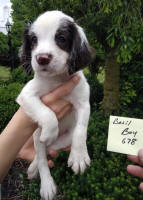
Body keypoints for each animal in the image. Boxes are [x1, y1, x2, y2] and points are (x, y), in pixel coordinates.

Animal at [16, 10, 92, 200]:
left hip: (64, 140)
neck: (57, 79)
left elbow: (81, 130)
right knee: (42, 157)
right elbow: (47, 114)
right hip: (36, 136)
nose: (42, 58)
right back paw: (46, 184)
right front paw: (51, 131)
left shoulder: (83, 103)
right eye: (33, 40)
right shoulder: (26, 95)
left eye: (61, 38)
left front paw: (79, 157)